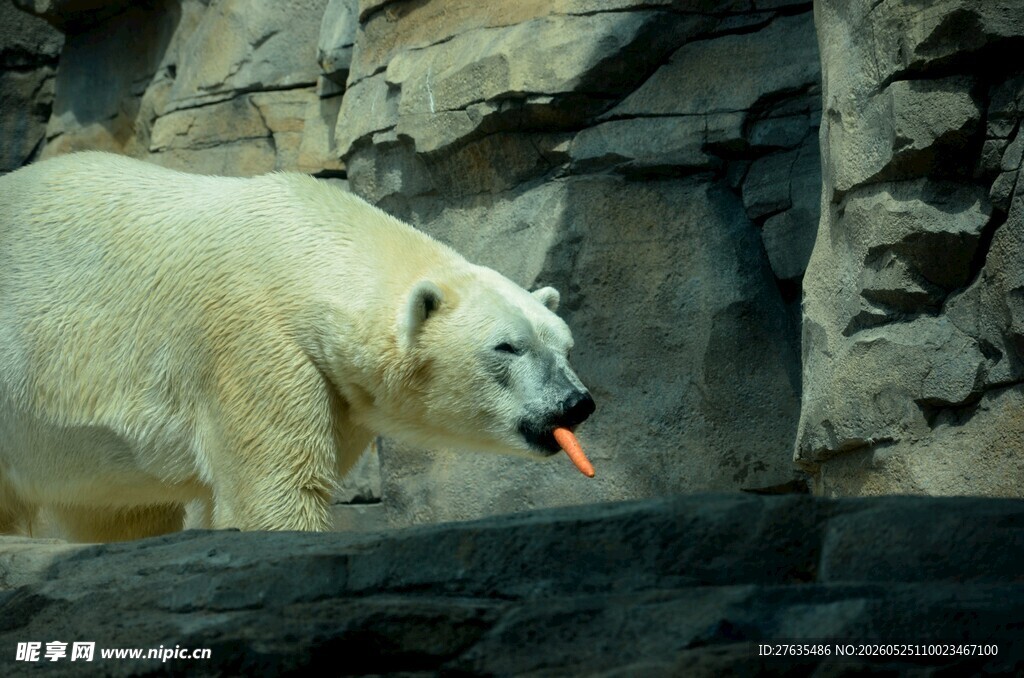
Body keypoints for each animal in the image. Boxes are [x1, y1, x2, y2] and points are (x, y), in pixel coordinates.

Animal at [0, 152, 595, 542]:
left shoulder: (341, 390)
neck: (298, 247)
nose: (576, 403)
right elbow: (275, 489)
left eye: (565, 346)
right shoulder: (253, 340)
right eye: (507, 347)